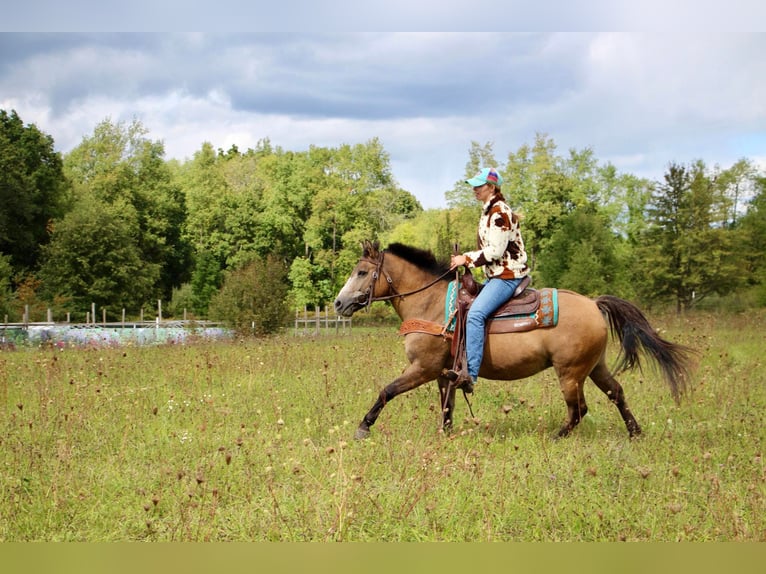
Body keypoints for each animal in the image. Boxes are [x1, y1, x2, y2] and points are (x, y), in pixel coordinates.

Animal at [332, 241, 700, 444]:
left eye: (361, 272)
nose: (338, 303)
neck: (432, 305)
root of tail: (594, 304)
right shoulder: (442, 373)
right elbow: (447, 406)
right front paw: (446, 434)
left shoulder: (423, 368)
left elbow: (387, 391)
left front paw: (363, 428)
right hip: (595, 366)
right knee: (616, 393)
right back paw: (635, 433)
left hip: (570, 372)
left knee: (578, 409)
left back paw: (556, 437)